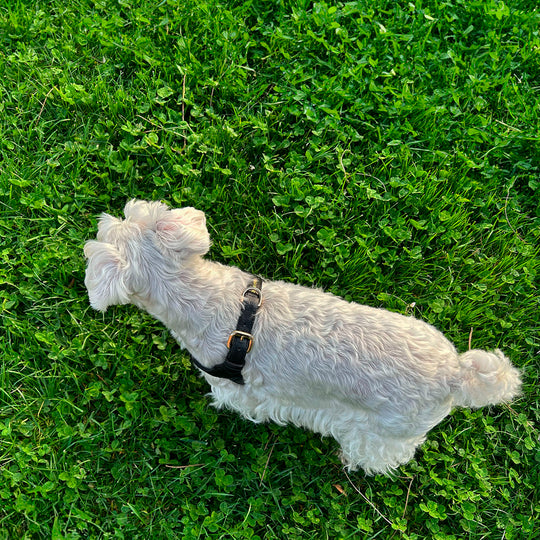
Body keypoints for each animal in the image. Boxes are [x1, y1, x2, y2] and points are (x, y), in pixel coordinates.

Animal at [85, 200, 524, 474]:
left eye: (116, 223)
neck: (209, 298)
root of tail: (457, 373)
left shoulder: (239, 388)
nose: (100, 220)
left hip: (385, 432)